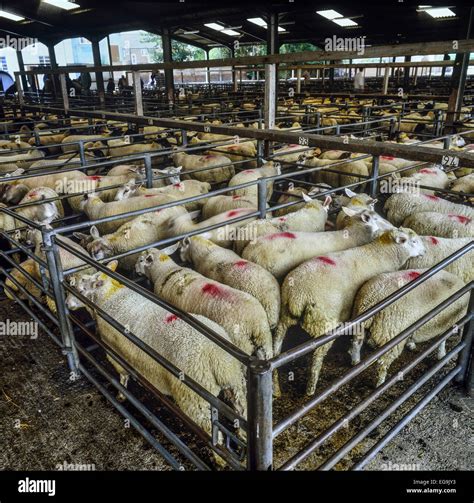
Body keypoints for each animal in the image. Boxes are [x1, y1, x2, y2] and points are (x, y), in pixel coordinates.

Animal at [65, 262, 248, 450]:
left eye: (78, 288)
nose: (66, 303)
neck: (108, 297)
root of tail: (215, 353)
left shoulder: (114, 353)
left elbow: (122, 376)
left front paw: (121, 395)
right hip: (235, 383)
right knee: (242, 412)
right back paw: (243, 436)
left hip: (194, 398)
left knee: (213, 434)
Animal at [135, 246, 272, 360]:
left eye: (141, 260)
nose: (134, 269)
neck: (165, 270)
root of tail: (256, 323)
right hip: (264, 343)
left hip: (240, 342)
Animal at [274, 228, 426, 398]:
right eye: (413, 241)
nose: (425, 251)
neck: (380, 252)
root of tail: (298, 295)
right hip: (324, 325)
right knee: (317, 358)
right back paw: (311, 389)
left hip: (284, 318)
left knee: (276, 347)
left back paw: (276, 388)